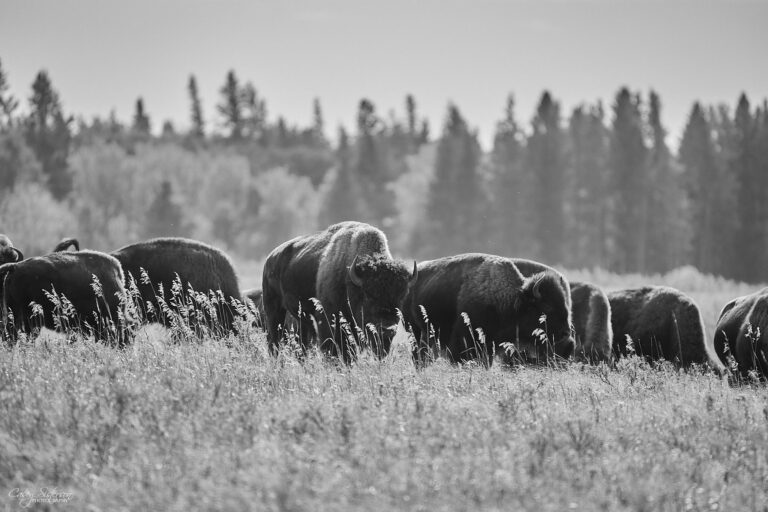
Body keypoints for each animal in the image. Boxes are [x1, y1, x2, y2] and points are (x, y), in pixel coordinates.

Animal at [262, 221, 417, 362]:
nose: (387, 329)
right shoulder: (329, 318)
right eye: (368, 295)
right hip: (274, 310)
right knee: (274, 340)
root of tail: (271, 257)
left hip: (301, 317)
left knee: (302, 342)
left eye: (401, 297)